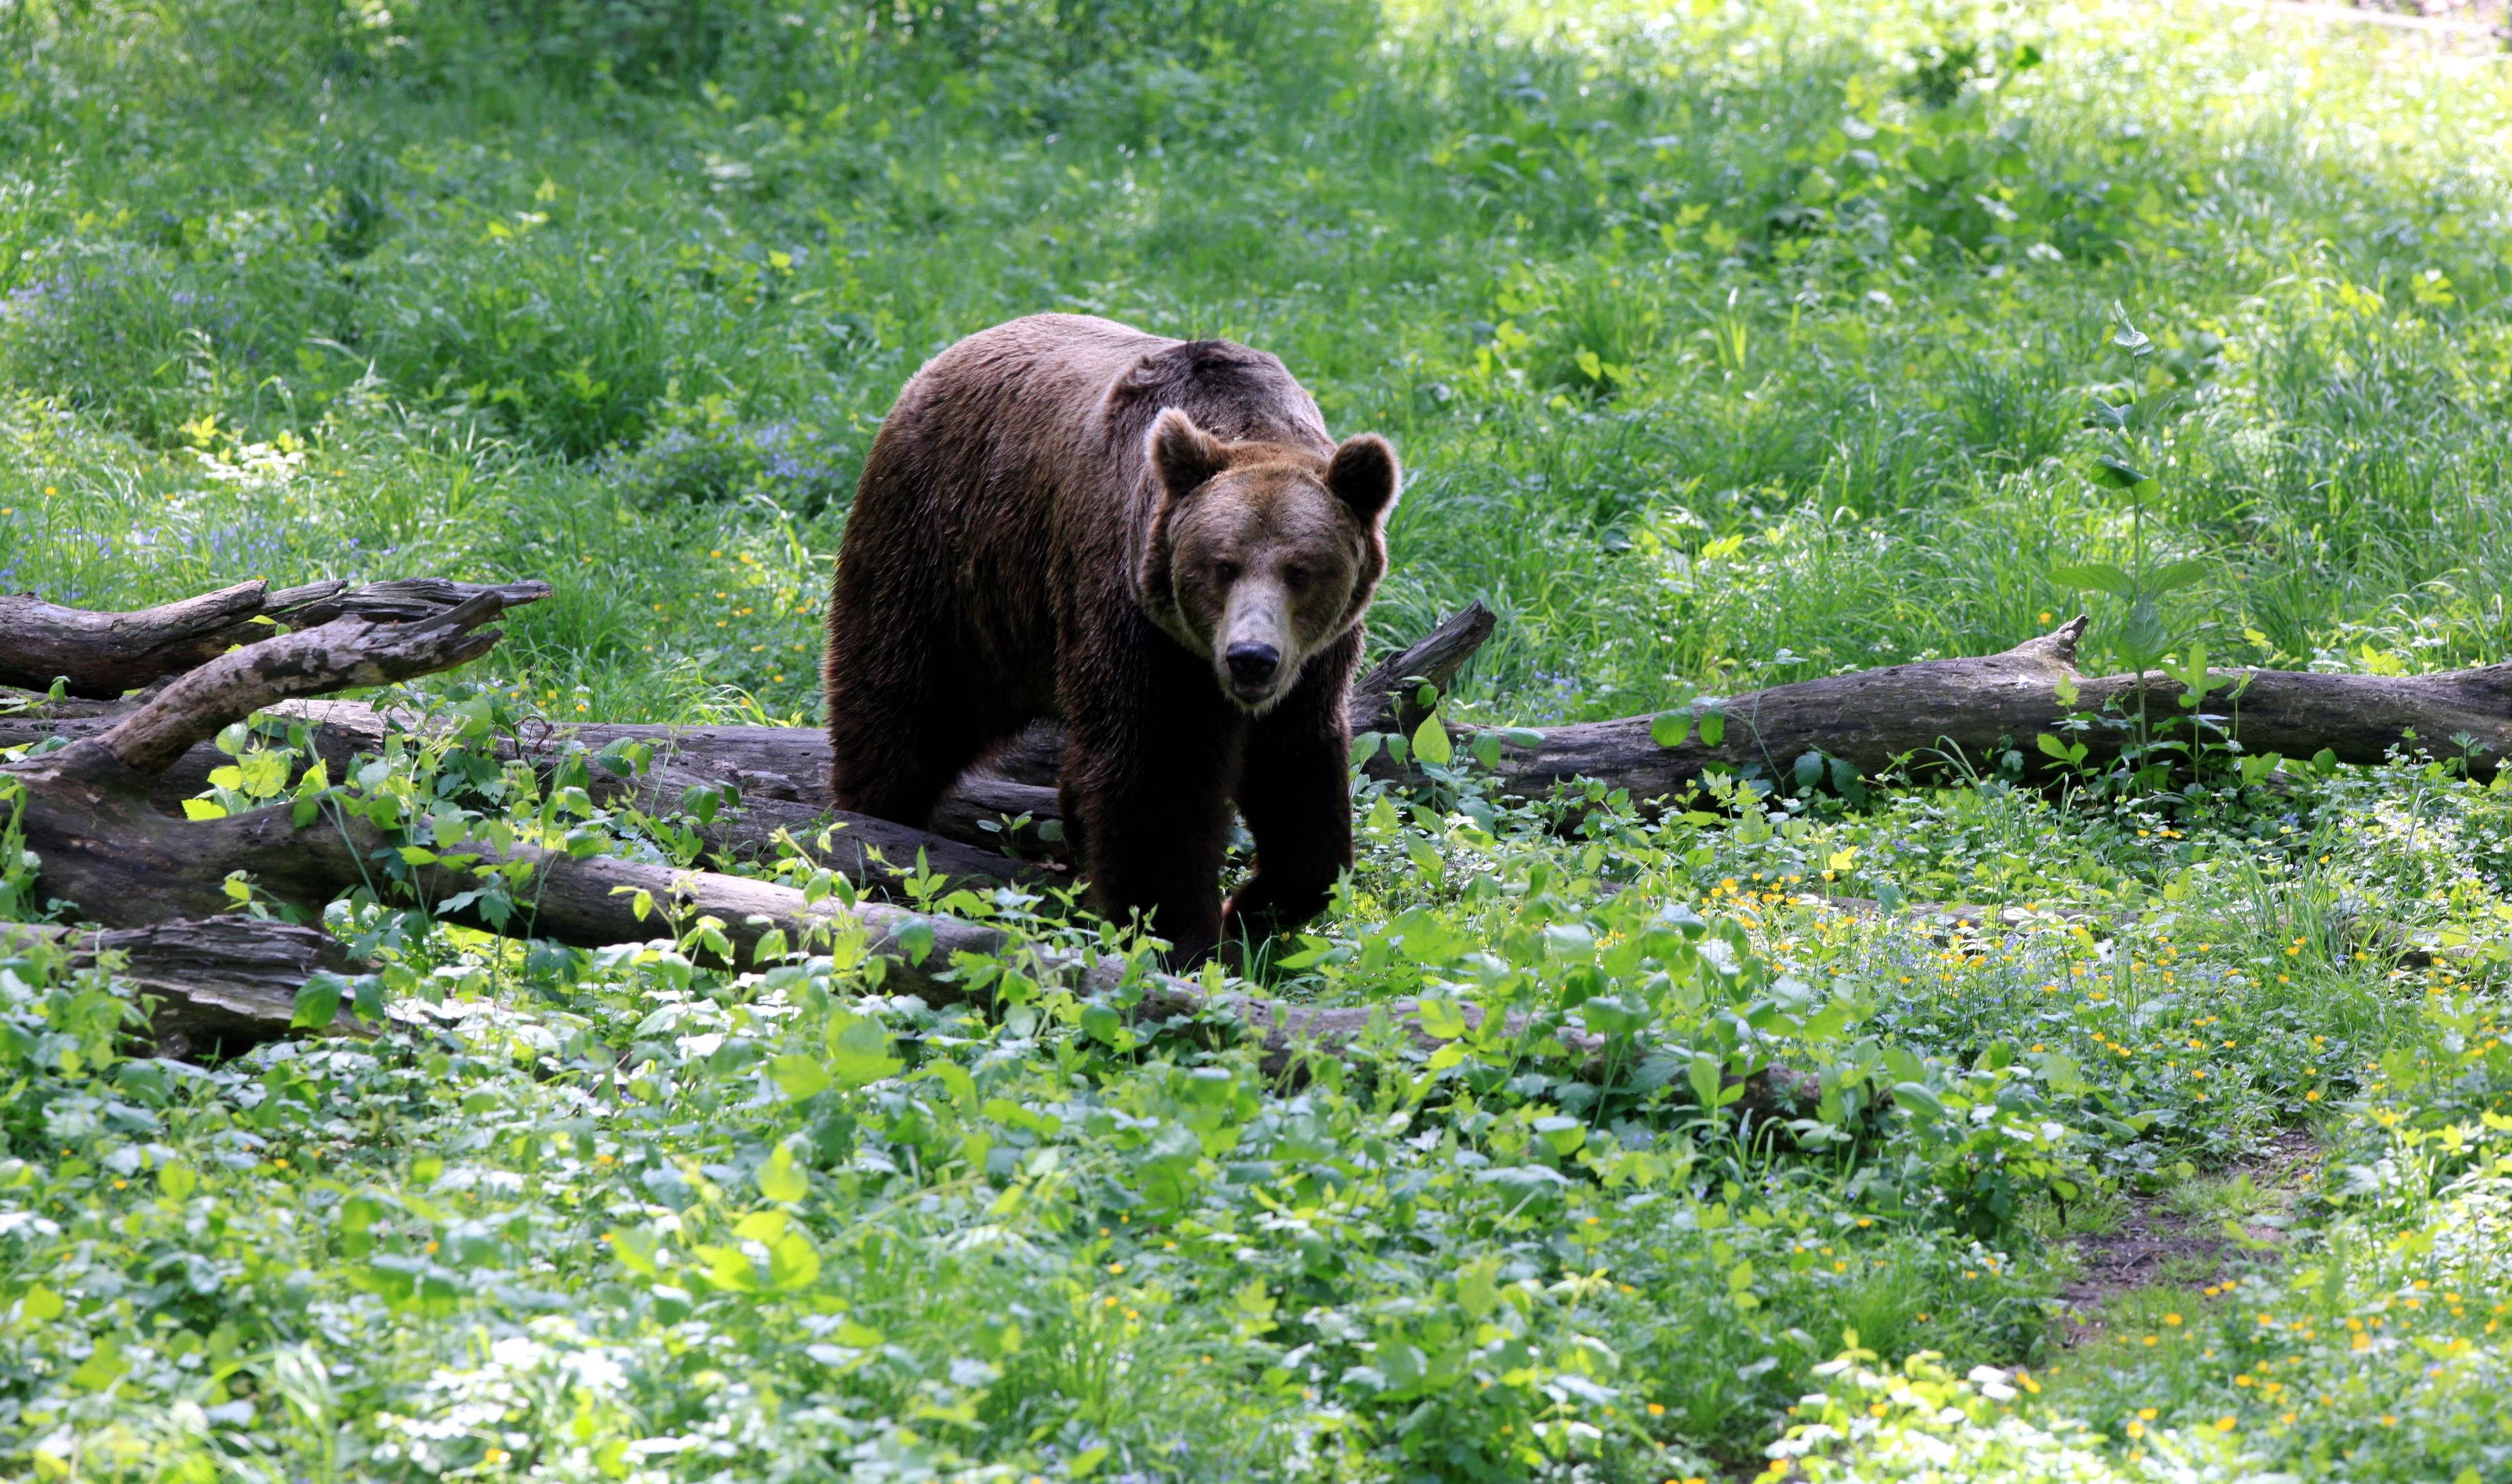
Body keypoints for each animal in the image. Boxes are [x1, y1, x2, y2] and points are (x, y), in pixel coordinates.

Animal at [833, 313, 1406, 964]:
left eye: (1300, 571)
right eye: (1223, 565)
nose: (1251, 659)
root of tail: (942, 358)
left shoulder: (1313, 667)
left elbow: (1300, 779)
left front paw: (1253, 909)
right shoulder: (1139, 621)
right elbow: (1157, 776)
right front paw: (1180, 934)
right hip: (951, 558)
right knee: (905, 702)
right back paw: (874, 823)